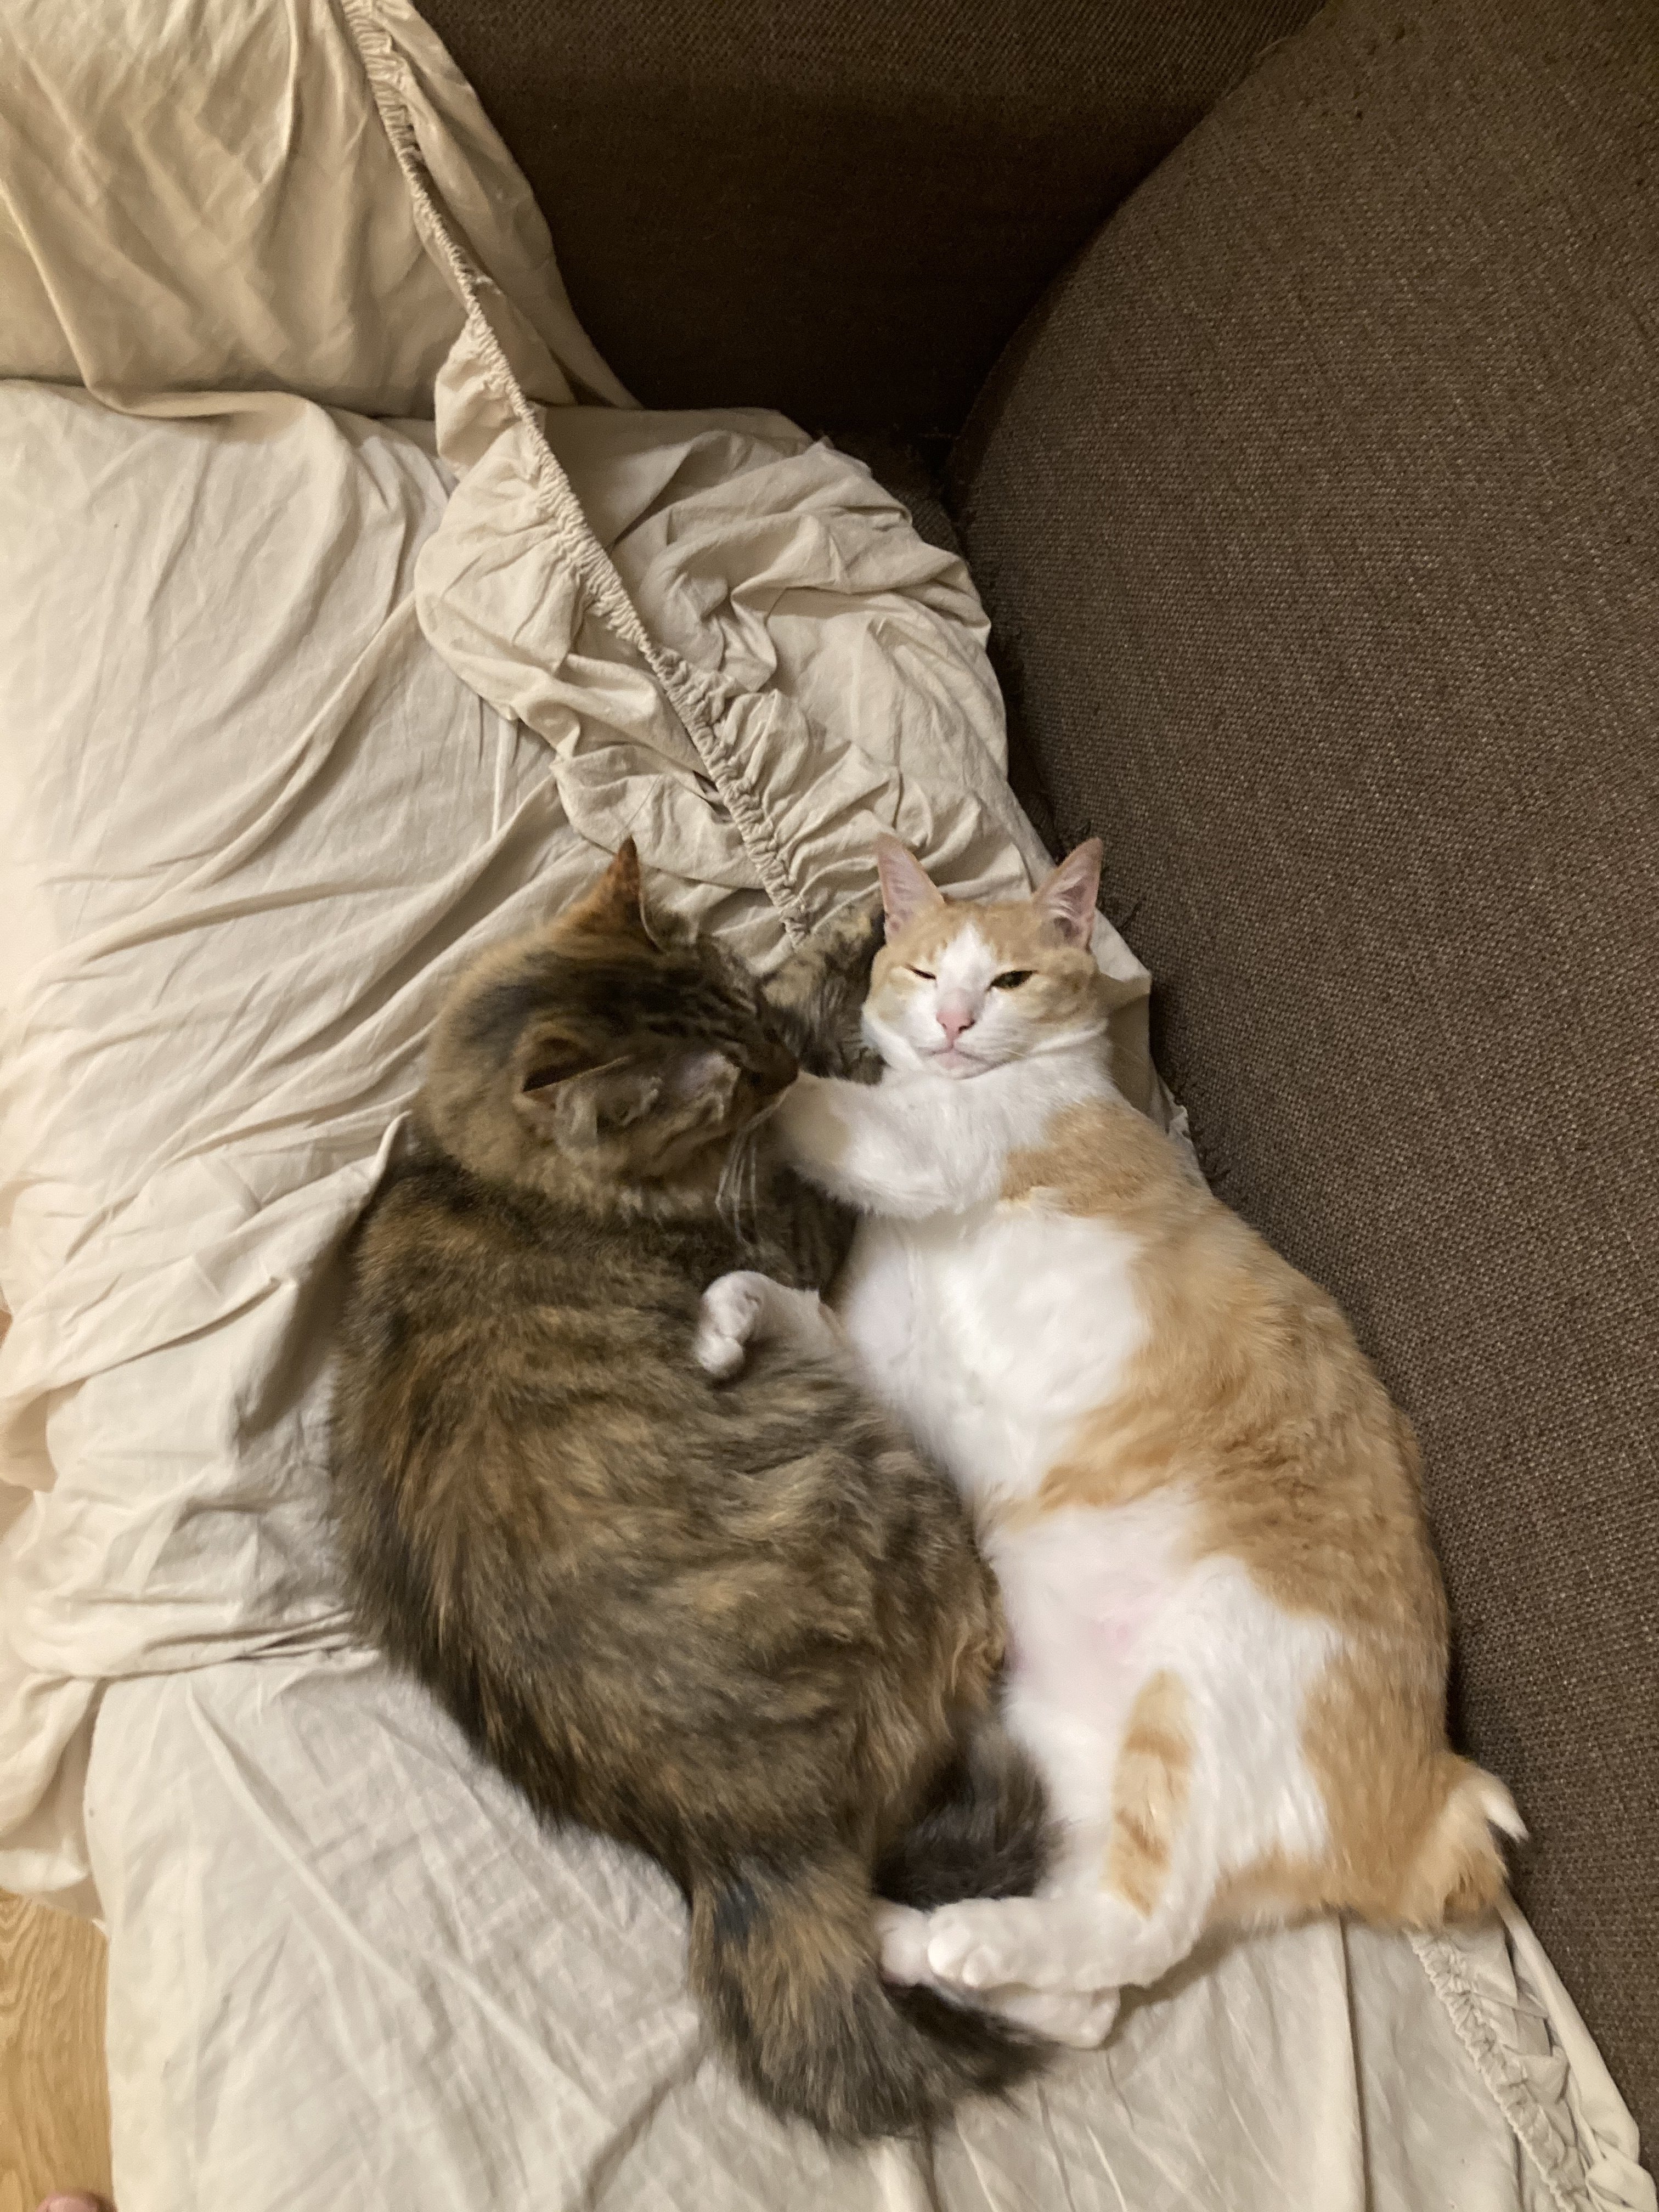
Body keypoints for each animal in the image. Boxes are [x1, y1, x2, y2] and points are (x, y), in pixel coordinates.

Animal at [327, 840, 1054, 2141]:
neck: (476, 1170)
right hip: (893, 1491)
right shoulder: (791, 1226)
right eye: (725, 1085)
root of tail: (746, 1854)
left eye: (738, 994)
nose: (776, 1063)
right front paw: (870, 940)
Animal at [698, 834, 1522, 2046]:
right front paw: (726, 1319)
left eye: (1008, 980)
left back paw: (964, 1938)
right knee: (1091, 2000)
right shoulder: (877, 1361)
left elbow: (810, 1097)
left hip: (1205, 1692)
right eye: (926, 967)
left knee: (1141, 1925)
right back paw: (918, 1941)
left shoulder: (923, 1152)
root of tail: (1433, 1805)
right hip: (1071, 1740)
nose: (953, 1021)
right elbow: (784, 1308)